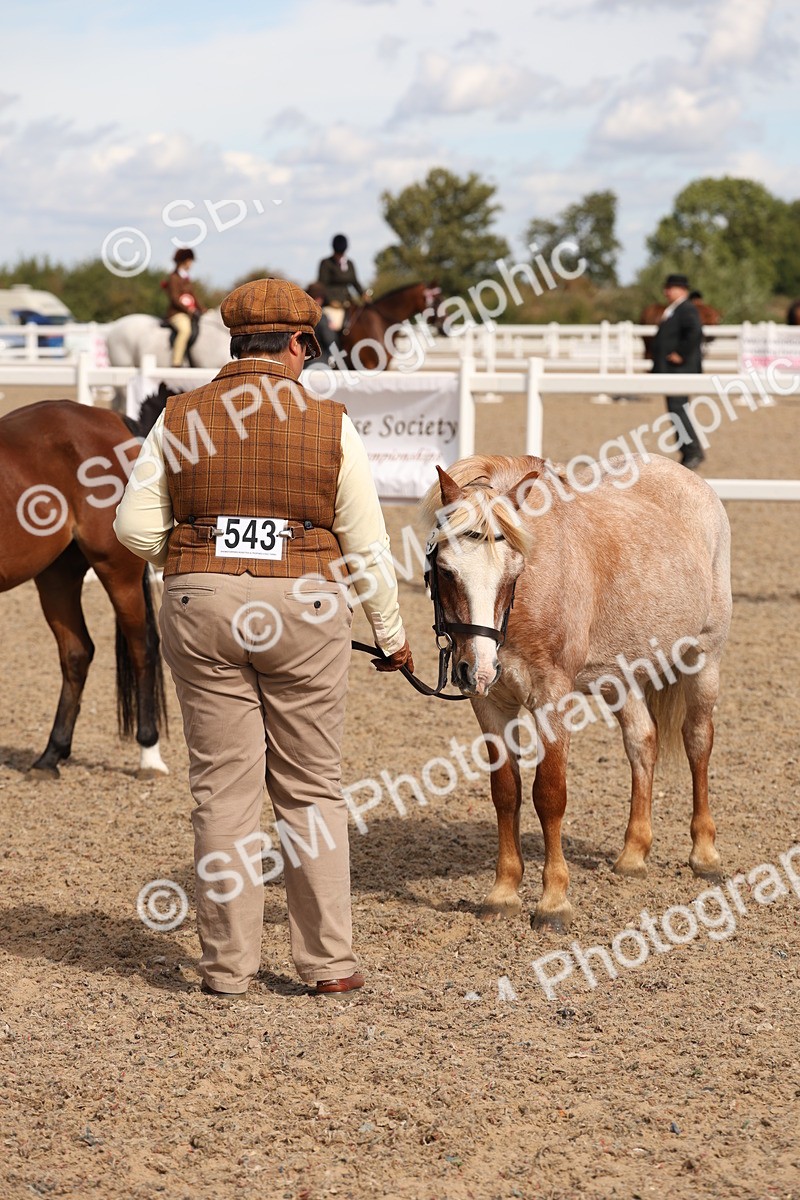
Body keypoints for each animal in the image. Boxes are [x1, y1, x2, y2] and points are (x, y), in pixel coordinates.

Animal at [0, 400, 169, 778]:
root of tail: (108, 418)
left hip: (117, 570)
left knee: (142, 648)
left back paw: (149, 755)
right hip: (57, 575)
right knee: (77, 654)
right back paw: (51, 756)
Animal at [422, 453, 731, 931]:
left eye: (514, 571)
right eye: (446, 570)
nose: (478, 669)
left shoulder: (551, 699)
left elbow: (549, 795)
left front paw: (553, 901)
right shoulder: (491, 704)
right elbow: (505, 792)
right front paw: (503, 893)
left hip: (704, 658)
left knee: (698, 743)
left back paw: (705, 854)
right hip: (622, 677)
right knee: (642, 742)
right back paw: (633, 854)